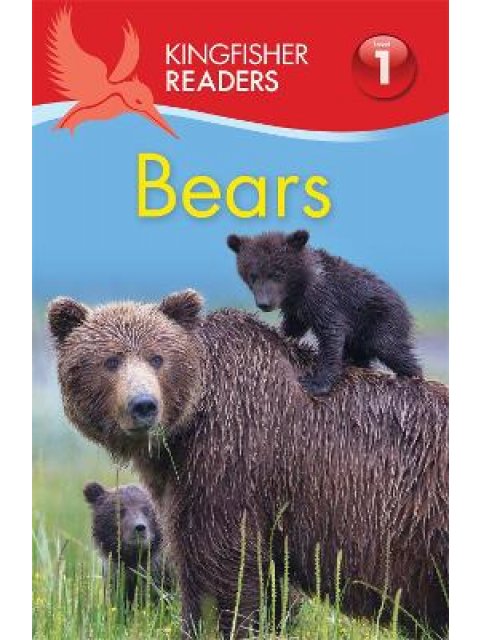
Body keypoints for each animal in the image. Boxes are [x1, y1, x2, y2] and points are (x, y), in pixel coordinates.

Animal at [48, 291, 448, 638]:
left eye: (157, 357)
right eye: (110, 360)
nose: (144, 405)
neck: (191, 423)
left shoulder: (232, 459)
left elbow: (220, 572)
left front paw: (210, 625)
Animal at [227, 230, 422, 395]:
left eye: (277, 273)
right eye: (253, 275)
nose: (264, 303)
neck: (300, 287)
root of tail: (404, 304)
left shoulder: (326, 299)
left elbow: (331, 335)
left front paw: (316, 383)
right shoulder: (297, 309)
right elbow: (293, 327)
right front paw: (281, 333)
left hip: (381, 319)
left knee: (390, 347)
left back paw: (411, 375)